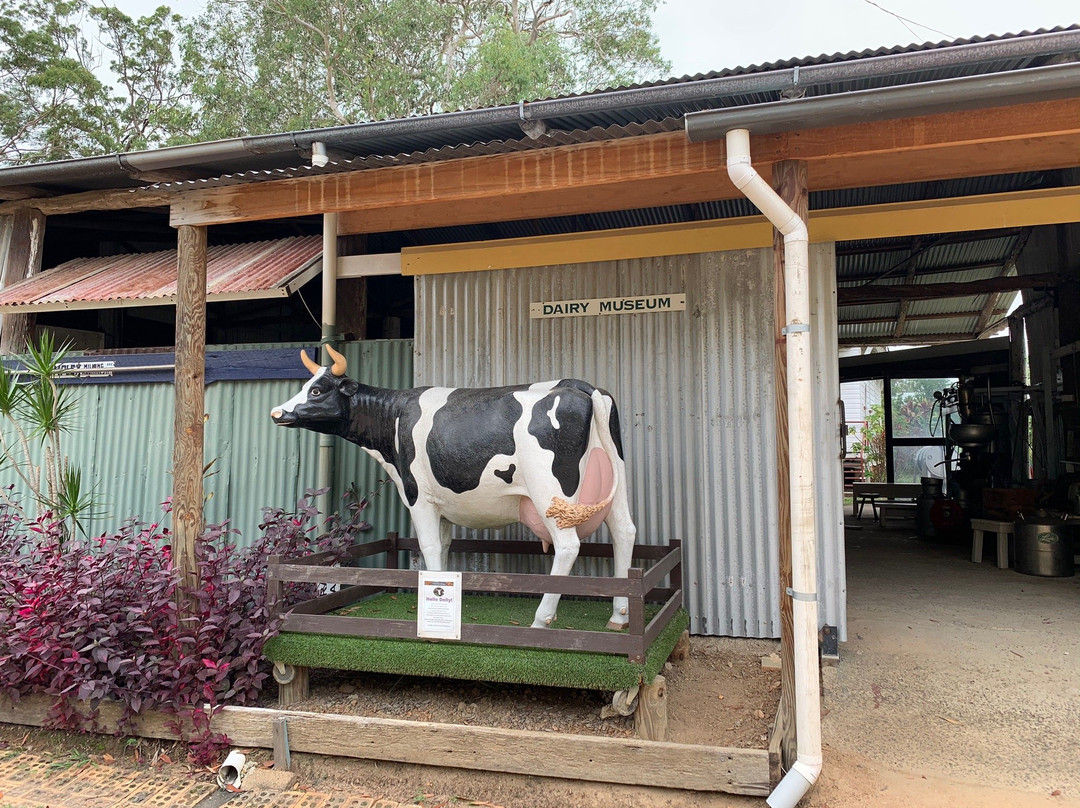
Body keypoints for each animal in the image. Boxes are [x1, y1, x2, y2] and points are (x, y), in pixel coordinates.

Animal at [270, 343, 635, 626]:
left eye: (317, 390)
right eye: (307, 386)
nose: (276, 412)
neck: (394, 418)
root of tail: (582, 387)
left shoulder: (417, 496)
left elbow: (429, 546)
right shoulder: (441, 503)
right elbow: (444, 546)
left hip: (551, 493)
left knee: (568, 546)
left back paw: (541, 619)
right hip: (616, 484)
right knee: (624, 532)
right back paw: (618, 616)